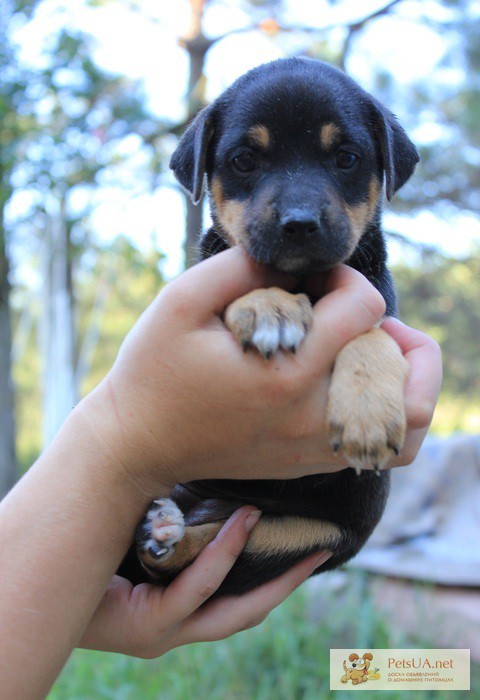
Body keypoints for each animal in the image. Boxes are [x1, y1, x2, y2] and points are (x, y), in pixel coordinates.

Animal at [118, 58, 418, 596]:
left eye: (346, 158)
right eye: (243, 161)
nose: (299, 223)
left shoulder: (383, 306)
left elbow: (373, 332)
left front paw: (366, 413)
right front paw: (267, 307)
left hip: (300, 535)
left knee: (211, 553)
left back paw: (166, 533)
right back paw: (162, 531)